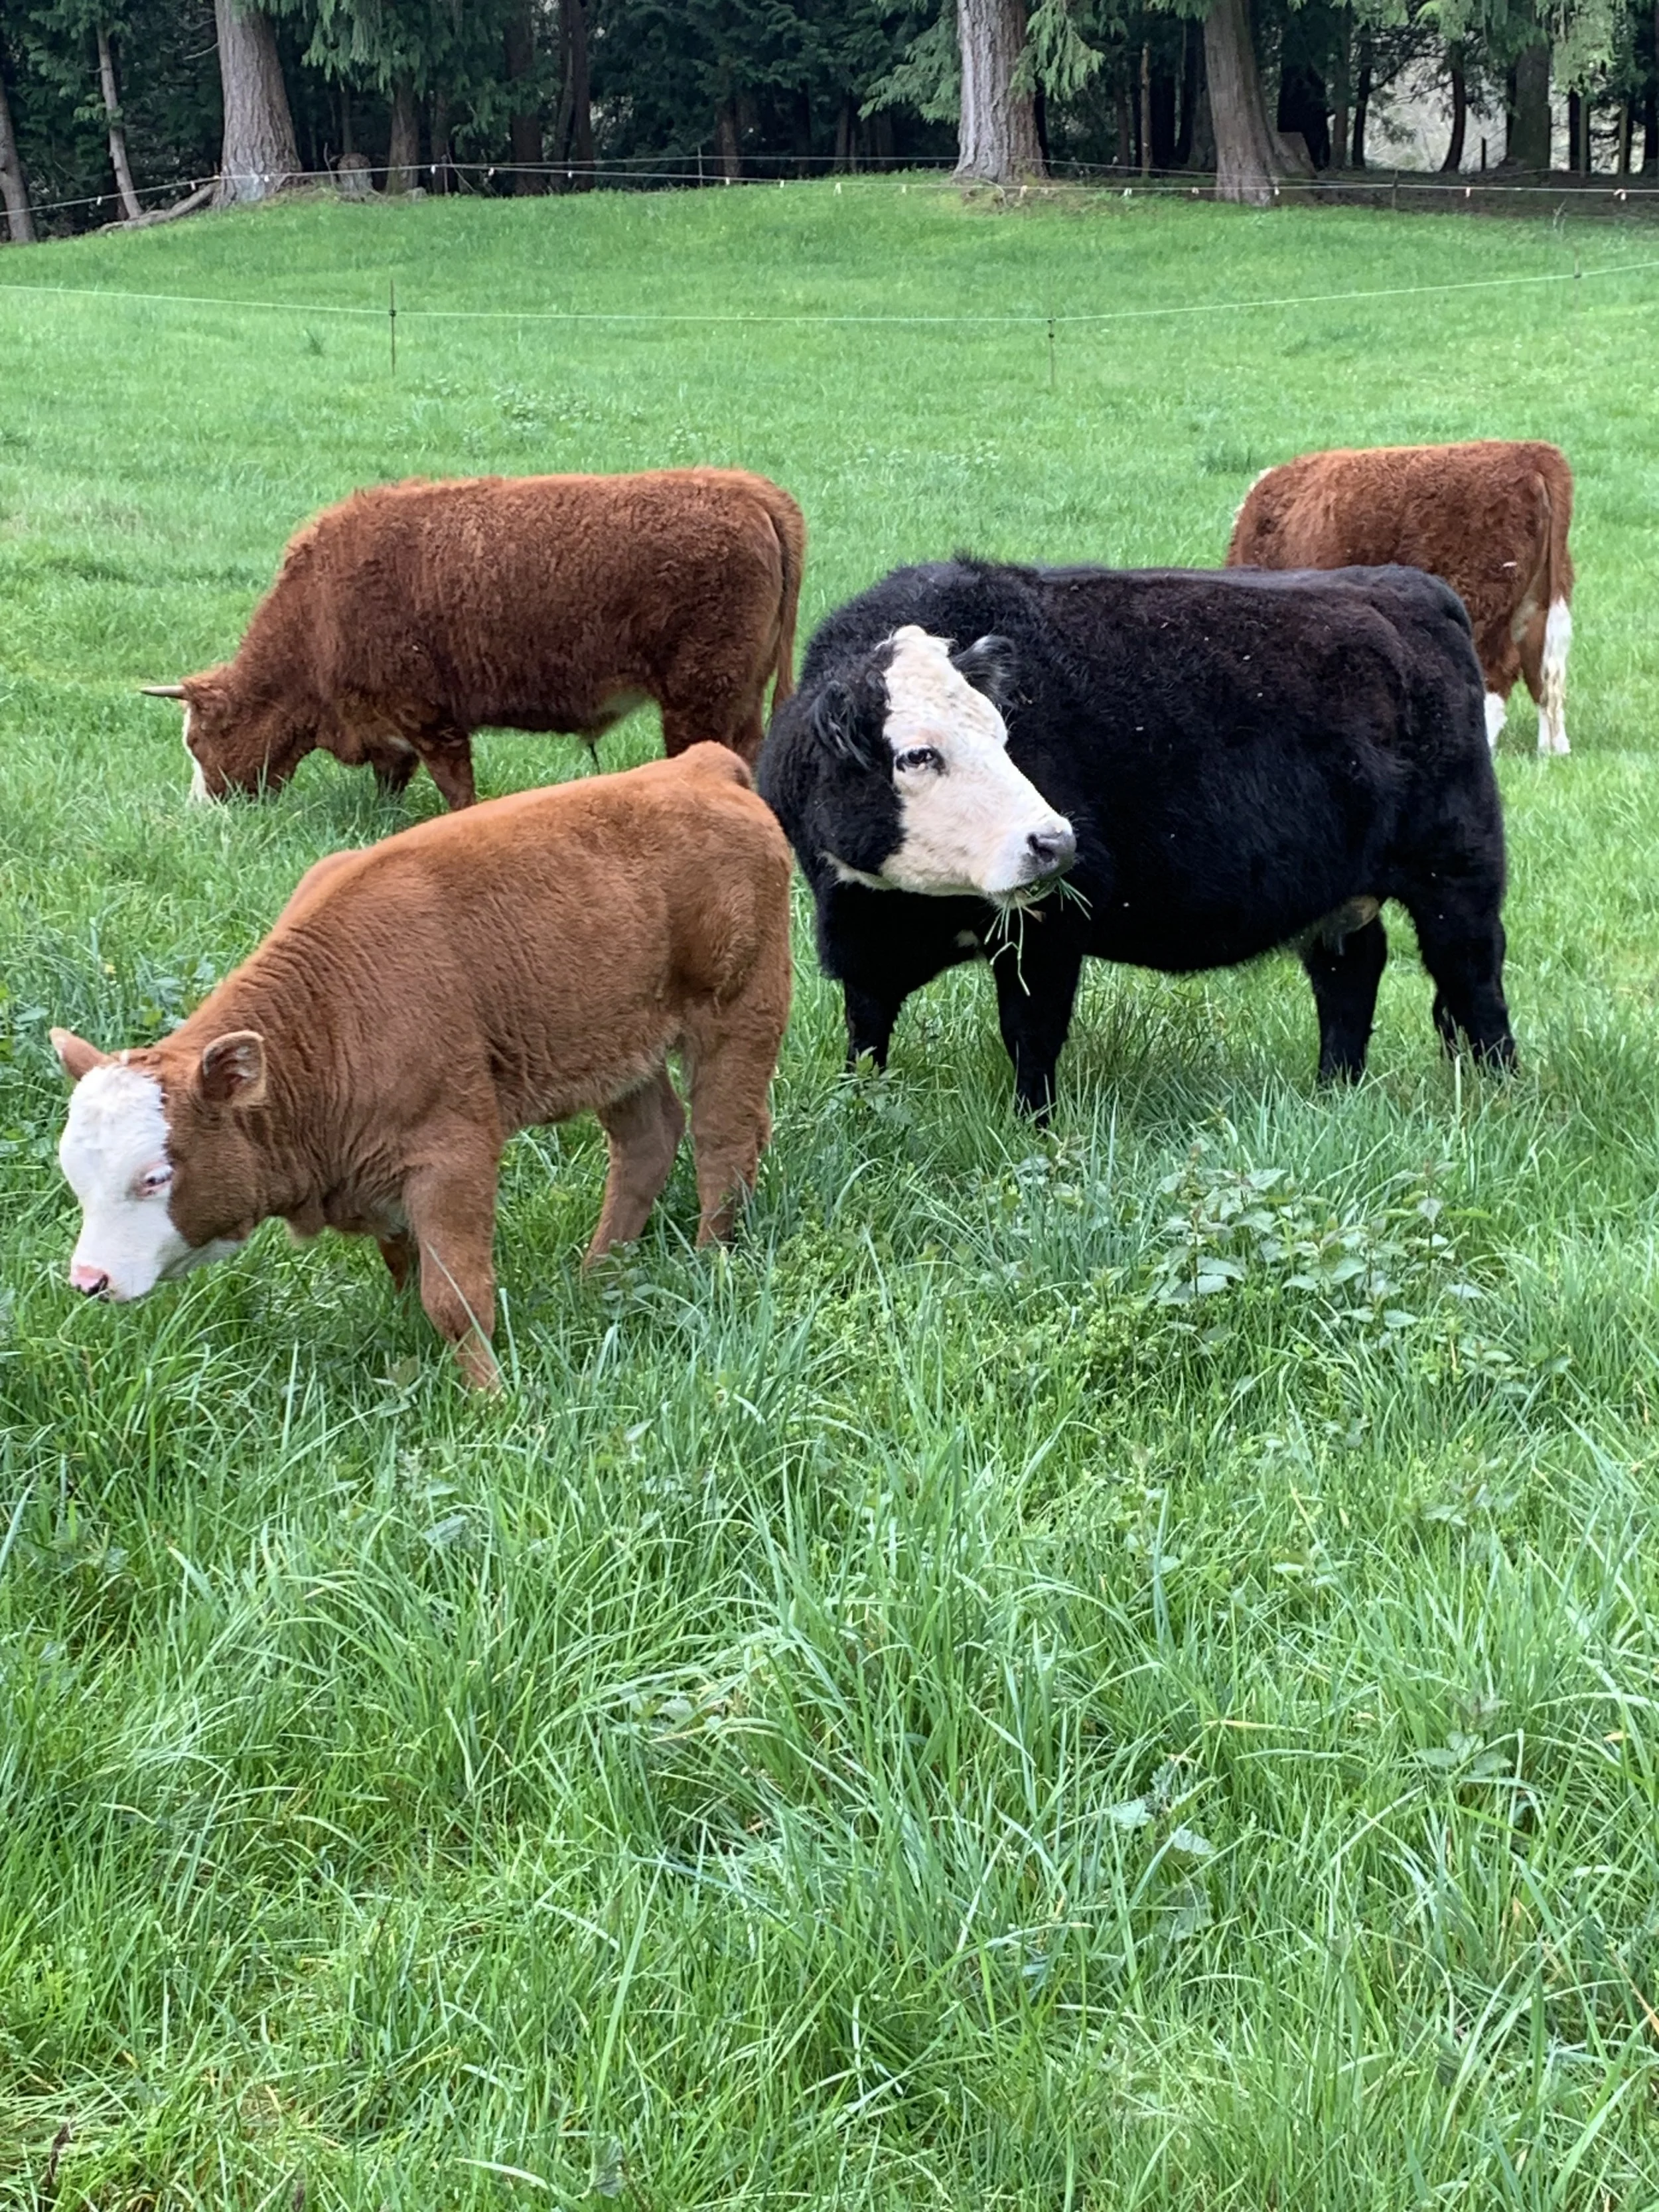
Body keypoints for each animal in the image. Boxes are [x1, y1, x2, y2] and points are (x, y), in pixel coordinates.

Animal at [50, 745, 792, 1389]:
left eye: (155, 1176)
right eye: (76, 1174)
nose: (88, 1281)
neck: (329, 1019)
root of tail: (697, 766)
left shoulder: (453, 1152)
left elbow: (456, 1296)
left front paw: (491, 1398)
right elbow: (404, 1264)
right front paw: (409, 1336)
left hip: (740, 1013)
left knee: (724, 1142)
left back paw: (708, 1262)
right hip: (620, 1049)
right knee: (648, 1141)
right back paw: (598, 1276)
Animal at [142, 468, 806, 809]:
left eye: (197, 741)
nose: (201, 810)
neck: (319, 611)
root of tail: (749, 490)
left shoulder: (429, 716)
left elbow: (457, 788)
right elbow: (392, 781)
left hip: (699, 700)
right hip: (737, 696)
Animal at [757, 559, 1515, 1121]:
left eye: (1004, 736)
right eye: (918, 755)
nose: (1054, 841)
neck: (903, 905)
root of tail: (1406, 584)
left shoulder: (1049, 929)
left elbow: (1031, 1035)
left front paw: (1034, 1129)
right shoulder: (862, 933)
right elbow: (867, 1031)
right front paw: (860, 1110)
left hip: (1457, 868)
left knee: (1472, 974)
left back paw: (1502, 1091)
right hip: (1342, 889)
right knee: (1350, 973)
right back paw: (1334, 1091)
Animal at [1226, 440, 1575, 756]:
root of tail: (1531, 452)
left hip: (1483, 599)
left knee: (1496, 669)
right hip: (1542, 600)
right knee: (1544, 670)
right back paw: (1553, 749)